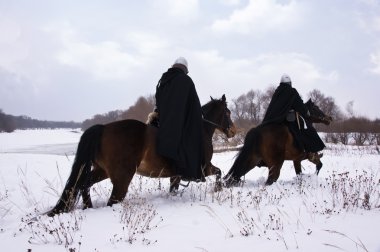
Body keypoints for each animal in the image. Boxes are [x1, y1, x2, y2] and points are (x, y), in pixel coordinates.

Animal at [48, 94, 235, 217]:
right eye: (227, 112)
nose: (233, 131)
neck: (200, 130)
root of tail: (103, 128)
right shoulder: (204, 167)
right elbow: (219, 172)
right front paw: (217, 190)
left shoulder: (176, 175)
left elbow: (174, 189)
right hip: (121, 178)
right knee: (111, 200)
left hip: (102, 171)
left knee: (84, 185)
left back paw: (88, 207)